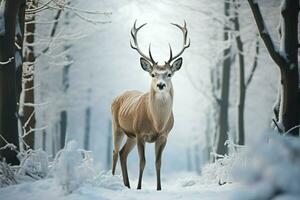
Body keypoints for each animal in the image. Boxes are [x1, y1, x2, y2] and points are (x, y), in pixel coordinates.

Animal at [110, 20, 190, 191]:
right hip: (117, 126)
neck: (157, 123)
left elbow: (158, 163)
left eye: (169, 74)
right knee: (115, 151)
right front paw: (139, 187)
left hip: (130, 135)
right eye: (153, 74)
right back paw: (112, 180)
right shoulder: (140, 133)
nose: (160, 85)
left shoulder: (164, 136)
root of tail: (117, 96)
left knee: (123, 153)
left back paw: (127, 185)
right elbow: (143, 162)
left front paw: (159, 188)